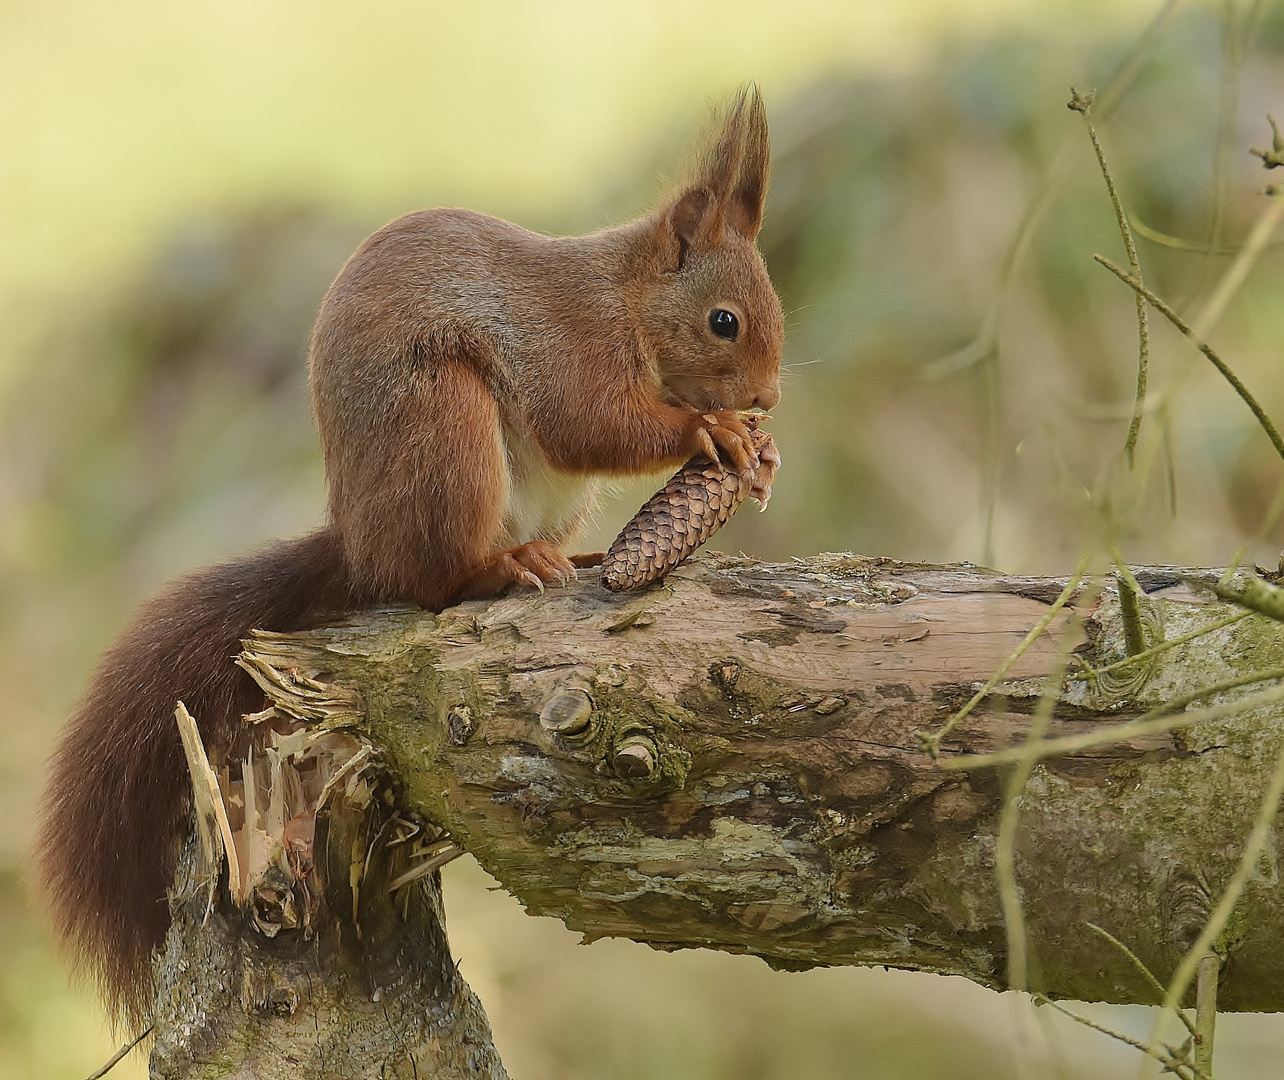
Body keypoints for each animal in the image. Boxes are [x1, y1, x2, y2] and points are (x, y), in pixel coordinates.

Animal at [37, 88, 780, 1022]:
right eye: (724, 321)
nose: (768, 398)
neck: (625, 299)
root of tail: (360, 547)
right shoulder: (565, 346)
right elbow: (589, 422)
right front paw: (712, 430)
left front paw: (756, 452)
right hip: (444, 426)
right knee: (430, 583)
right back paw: (501, 569)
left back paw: (566, 560)